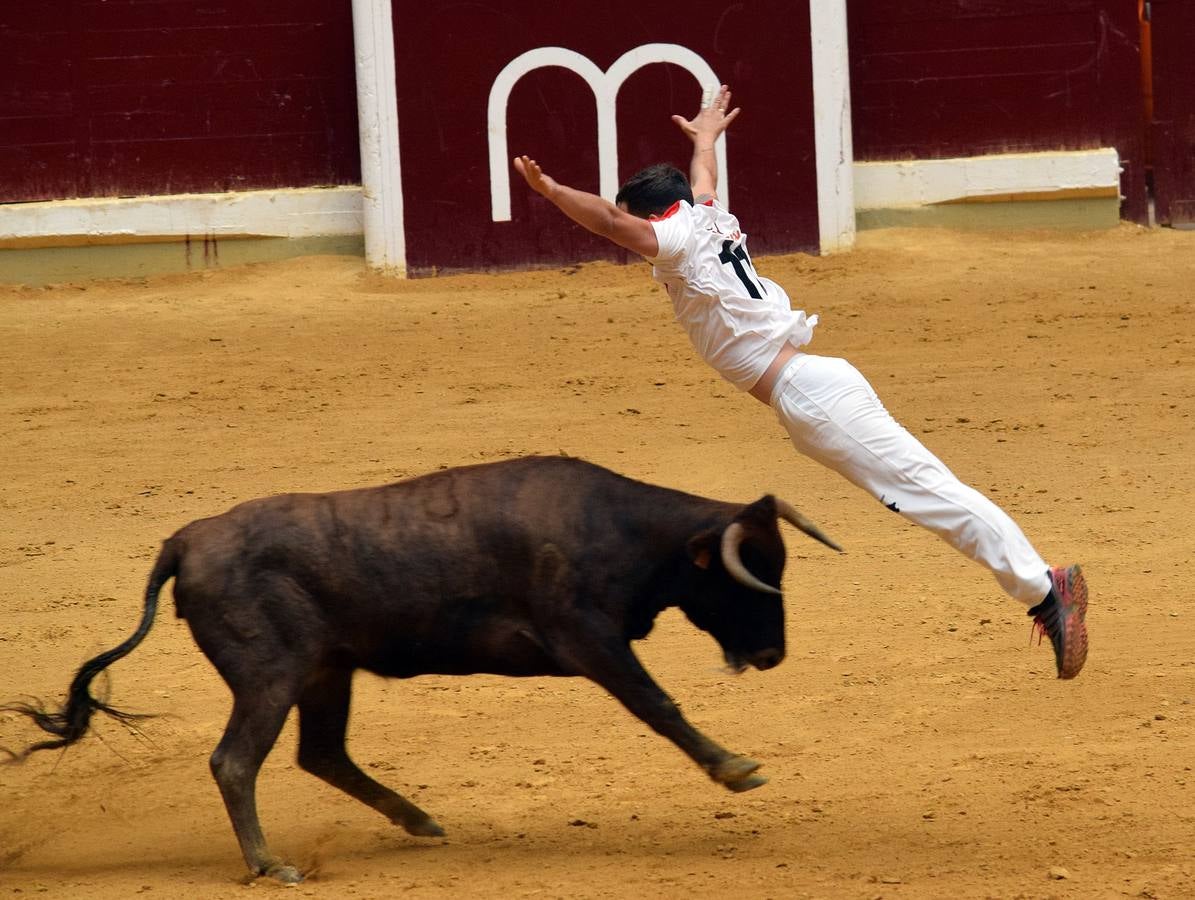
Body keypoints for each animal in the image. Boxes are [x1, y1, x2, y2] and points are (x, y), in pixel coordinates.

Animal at [4, 458, 836, 879]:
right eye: (746, 576)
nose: (773, 653)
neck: (623, 530)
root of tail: (185, 539)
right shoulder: (587, 641)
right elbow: (657, 704)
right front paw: (735, 768)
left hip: (324, 671)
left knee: (321, 752)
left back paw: (417, 819)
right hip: (270, 677)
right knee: (236, 760)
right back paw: (270, 865)